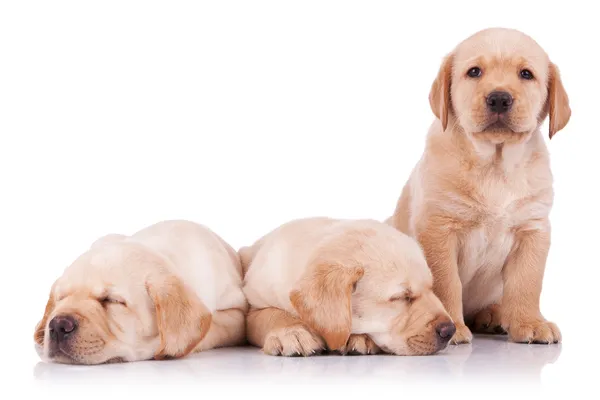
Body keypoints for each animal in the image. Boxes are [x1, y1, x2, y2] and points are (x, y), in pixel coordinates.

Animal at [239, 217, 454, 358]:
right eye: (402, 297)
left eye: (432, 289)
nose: (450, 330)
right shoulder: (253, 303)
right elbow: (269, 314)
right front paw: (292, 332)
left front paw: (359, 338)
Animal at [390, 28, 572, 346]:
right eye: (474, 72)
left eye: (526, 74)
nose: (499, 98)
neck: (495, 166)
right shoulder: (438, 228)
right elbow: (445, 281)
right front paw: (452, 326)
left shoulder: (533, 230)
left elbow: (527, 282)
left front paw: (529, 322)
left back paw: (495, 315)